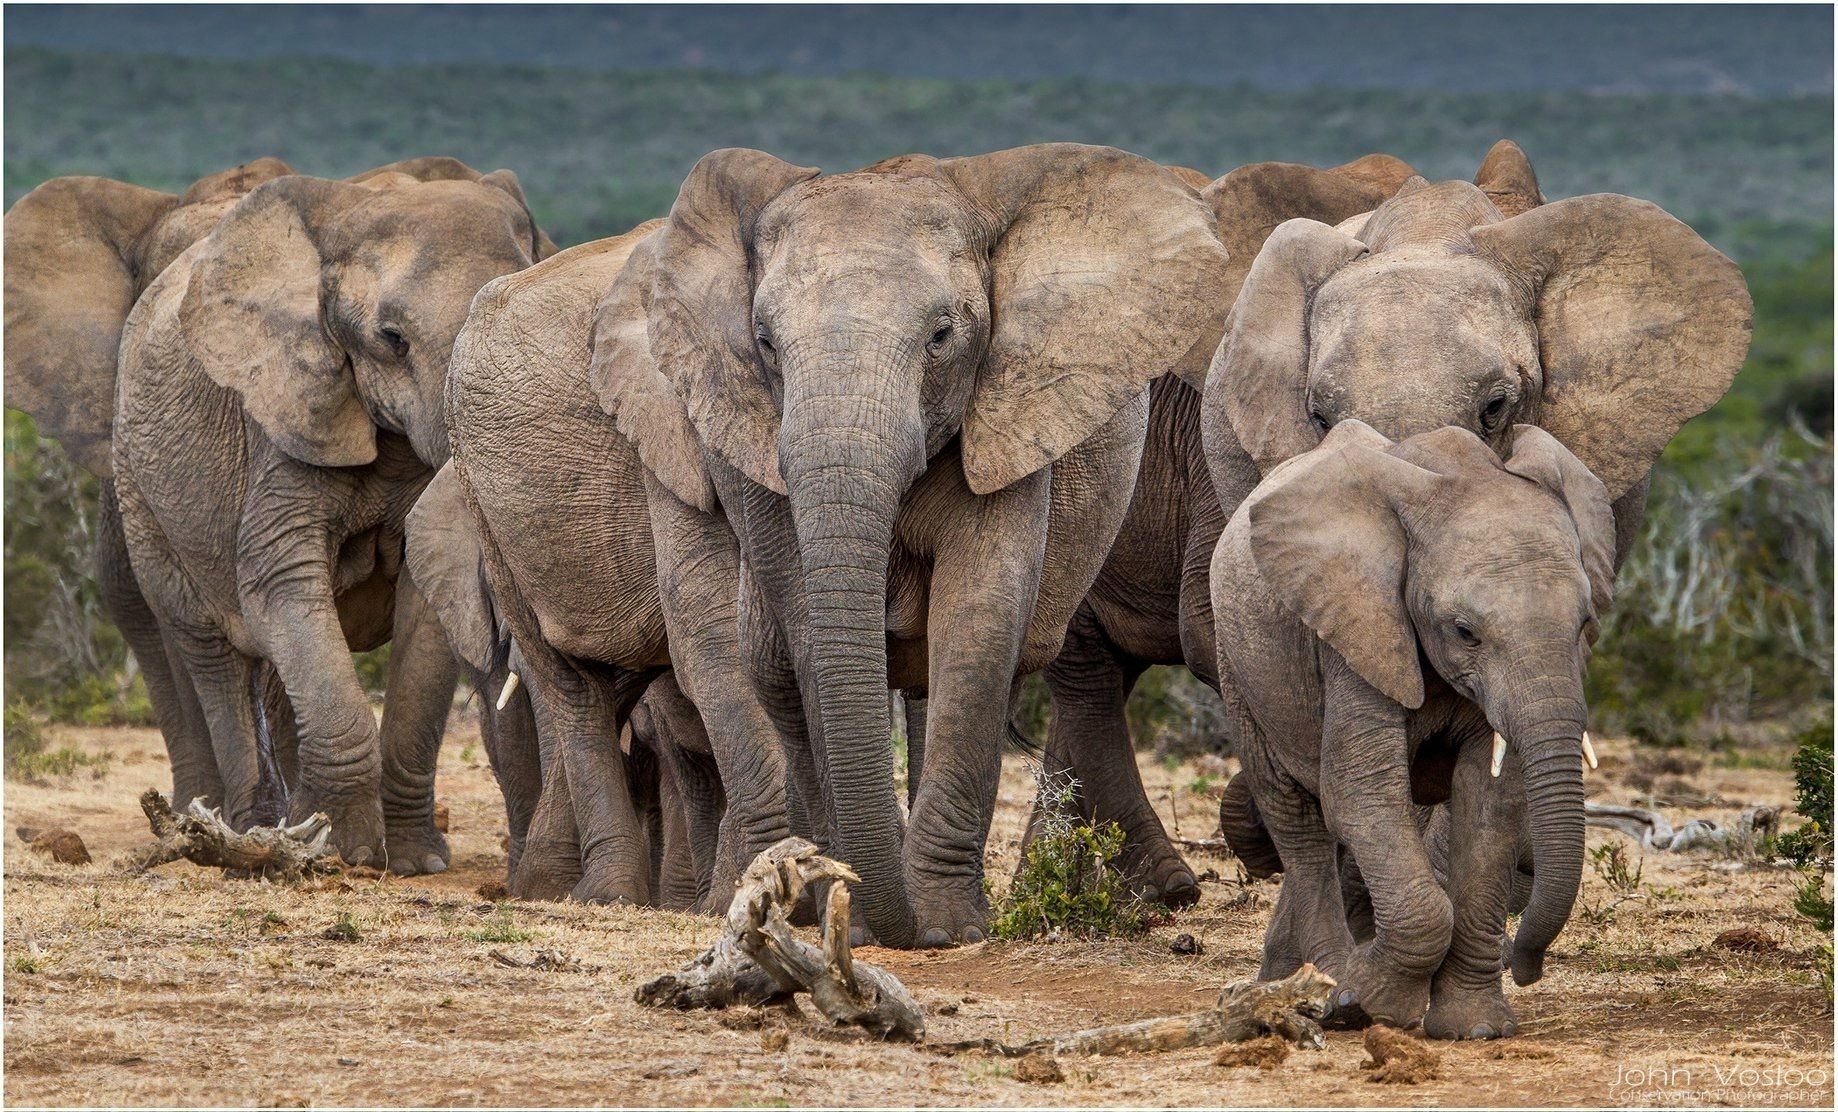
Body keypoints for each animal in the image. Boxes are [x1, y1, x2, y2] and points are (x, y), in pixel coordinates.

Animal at [3, 157, 546, 872]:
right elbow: (279, 584)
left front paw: (412, 861)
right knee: (210, 648)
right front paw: (345, 850)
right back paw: (249, 828)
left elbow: (425, 617)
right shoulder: (278, 417)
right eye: (392, 340)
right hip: (144, 489)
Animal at [443, 225, 794, 907]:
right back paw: (597, 895)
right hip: (484, 505)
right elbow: (714, 634)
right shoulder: (666, 434)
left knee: (617, 678)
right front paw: (735, 897)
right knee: (574, 684)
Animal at [599, 143, 1232, 948]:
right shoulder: (753, 439)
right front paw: (862, 915)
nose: (867, 902)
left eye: (941, 337)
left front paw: (944, 926)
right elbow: (808, 625)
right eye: (765, 343)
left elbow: (980, 616)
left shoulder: (1006, 414)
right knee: (773, 674)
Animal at [1210, 419, 1616, 1039]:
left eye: (1584, 624)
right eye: (1465, 631)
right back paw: (1321, 986)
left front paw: (1474, 1029)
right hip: (1240, 665)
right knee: (1297, 819)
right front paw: (1361, 1003)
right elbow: (1362, 793)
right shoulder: (1357, 632)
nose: (1527, 968)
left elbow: (1489, 804)